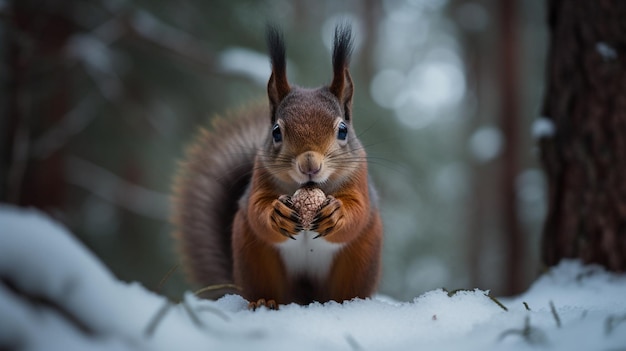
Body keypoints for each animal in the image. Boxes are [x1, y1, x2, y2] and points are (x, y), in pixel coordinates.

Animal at [173, 24, 382, 310]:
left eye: (342, 130)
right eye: (276, 132)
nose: (309, 164)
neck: (307, 186)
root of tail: (305, 299)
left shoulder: (358, 178)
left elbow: (358, 211)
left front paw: (337, 213)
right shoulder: (260, 176)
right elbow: (256, 208)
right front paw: (276, 213)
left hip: (359, 258)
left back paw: (346, 303)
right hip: (254, 256)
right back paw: (263, 300)